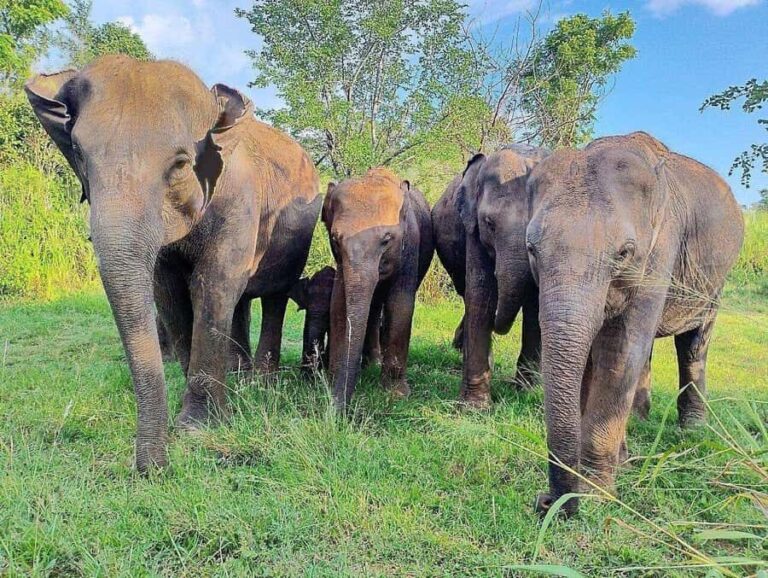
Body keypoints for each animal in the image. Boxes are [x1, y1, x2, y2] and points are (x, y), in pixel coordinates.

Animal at [26, 55, 321, 472]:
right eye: (79, 154)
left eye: (180, 164)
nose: (154, 468)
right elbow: (168, 294)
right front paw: (193, 417)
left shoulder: (240, 200)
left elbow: (213, 285)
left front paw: (196, 428)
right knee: (241, 301)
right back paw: (239, 377)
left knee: (273, 296)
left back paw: (261, 383)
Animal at [323, 168, 434, 412]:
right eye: (335, 239)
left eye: (387, 239)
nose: (337, 411)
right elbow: (338, 305)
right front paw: (332, 380)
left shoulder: (410, 247)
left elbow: (400, 304)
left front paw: (396, 395)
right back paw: (372, 363)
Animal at [450, 144, 550, 408]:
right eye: (489, 223)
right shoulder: (472, 227)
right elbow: (480, 295)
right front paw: (474, 408)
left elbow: (536, 306)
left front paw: (526, 392)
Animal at [526, 132, 744, 516]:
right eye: (532, 250)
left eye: (624, 253)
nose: (548, 501)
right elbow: (592, 357)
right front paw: (605, 474)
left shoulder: (661, 250)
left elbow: (619, 351)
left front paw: (595, 494)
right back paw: (639, 425)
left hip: (715, 281)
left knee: (693, 343)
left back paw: (691, 430)